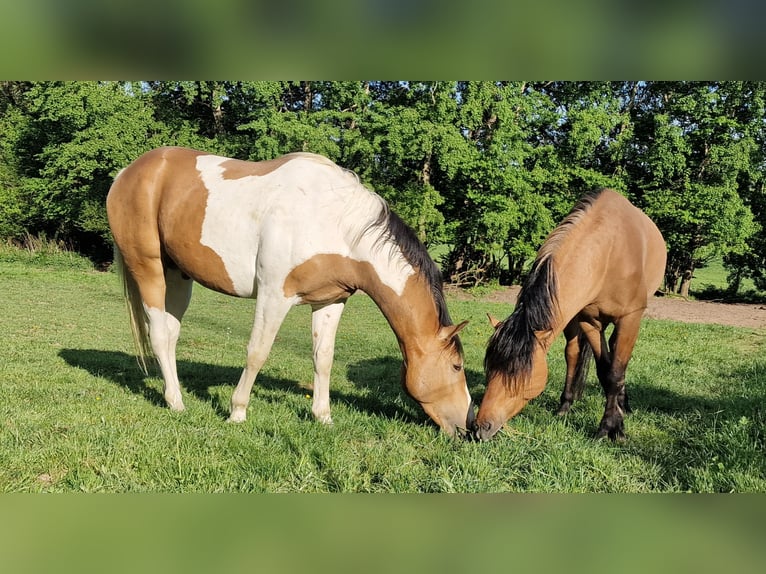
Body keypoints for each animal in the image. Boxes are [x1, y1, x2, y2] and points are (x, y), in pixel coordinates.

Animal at [106, 146, 473, 436]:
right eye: (457, 366)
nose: (470, 426)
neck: (336, 221)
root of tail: (128, 172)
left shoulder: (331, 301)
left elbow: (323, 358)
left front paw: (323, 416)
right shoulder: (274, 296)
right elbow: (257, 352)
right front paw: (237, 411)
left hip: (179, 276)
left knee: (170, 336)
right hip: (149, 269)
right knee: (158, 335)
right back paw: (176, 402)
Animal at [473, 188, 666, 441]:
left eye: (519, 375)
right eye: (489, 368)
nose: (479, 428)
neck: (608, 252)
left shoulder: (630, 318)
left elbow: (615, 373)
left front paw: (613, 428)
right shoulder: (589, 321)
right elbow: (604, 371)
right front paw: (611, 423)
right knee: (574, 354)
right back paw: (566, 405)